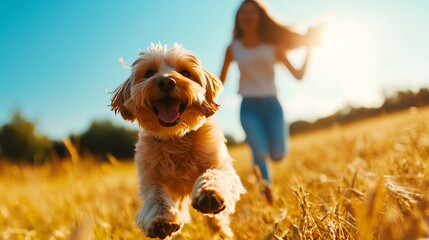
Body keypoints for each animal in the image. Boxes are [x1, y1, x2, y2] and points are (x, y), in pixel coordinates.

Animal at [111, 43, 244, 238]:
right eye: (149, 73)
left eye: (186, 73)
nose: (166, 81)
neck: (176, 137)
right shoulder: (151, 176)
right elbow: (156, 196)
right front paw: (162, 220)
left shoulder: (220, 164)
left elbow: (216, 174)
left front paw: (210, 193)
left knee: (216, 221)